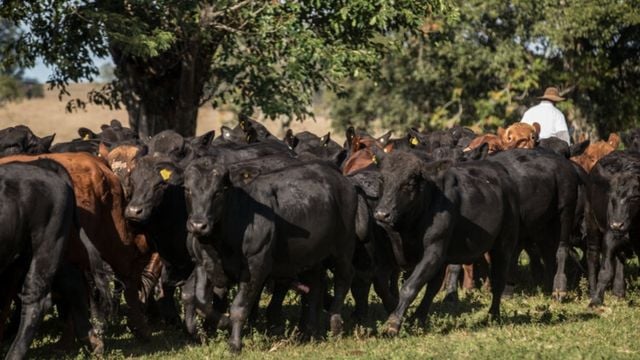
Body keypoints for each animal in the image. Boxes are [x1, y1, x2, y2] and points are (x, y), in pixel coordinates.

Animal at [184, 158, 360, 352]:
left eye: (219, 191)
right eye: (187, 189)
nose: (198, 225)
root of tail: (342, 180)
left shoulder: (255, 267)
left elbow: (239, 307)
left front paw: (235, 344)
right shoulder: (203, 264)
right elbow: (200, 300)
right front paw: (220, 322)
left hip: (343, 246)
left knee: (344, 278)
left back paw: (335, 326)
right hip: (310, 255)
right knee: (316, 284)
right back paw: (307, 332)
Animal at [376, 151, 520, 334]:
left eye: (409, 183)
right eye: (382, 179)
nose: (382, 214)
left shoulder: (433, 250)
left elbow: (409, 287)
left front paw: (393, 323)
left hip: (504, 244)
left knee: (499, 279)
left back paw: (493, 316)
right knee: (434, 286)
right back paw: (419, 318)